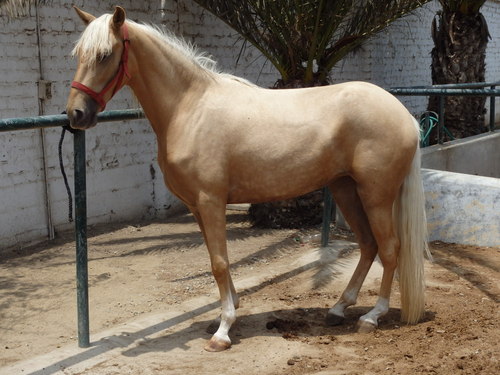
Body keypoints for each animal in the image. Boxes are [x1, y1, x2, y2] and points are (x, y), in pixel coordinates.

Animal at [65, 6, 430, 352]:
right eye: (79, 54)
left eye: (104, 54)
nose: (75, 115)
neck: (190, 108)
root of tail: (402, 114)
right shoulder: (197, 207)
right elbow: (217, 261)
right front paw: (228, 312)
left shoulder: (211, 201)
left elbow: (219, 263)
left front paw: (223, 331)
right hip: (345, 190)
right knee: (368, 245)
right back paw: (339, 308)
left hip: (376, 195)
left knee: (390, 248)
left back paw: (372, 316)